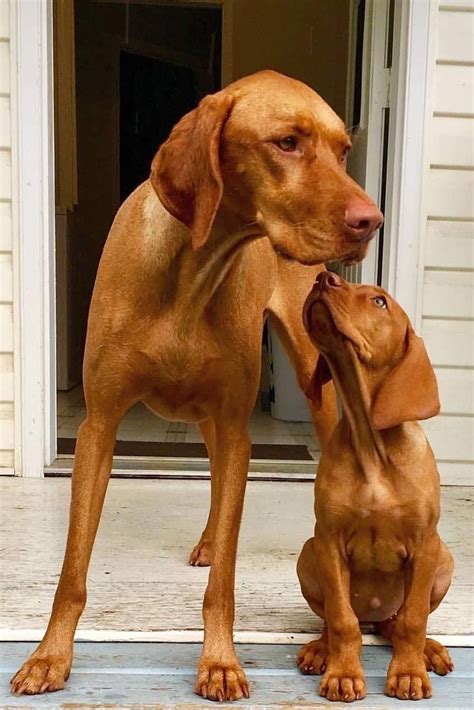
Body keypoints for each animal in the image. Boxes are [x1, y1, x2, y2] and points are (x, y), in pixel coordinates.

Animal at [11, 69, 382, 704]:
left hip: (313, 393)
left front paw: (220, 662)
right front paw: (50, 656)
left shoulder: (236, 428)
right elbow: (73, 568)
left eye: (342, 151)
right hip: (208, 419)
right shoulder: (99, 426)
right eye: (287, 142)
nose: (371, 221)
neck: (192, 270)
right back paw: (208, 541)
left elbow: (226, 580)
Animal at [296, 272, 456, 700]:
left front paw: (408, 673)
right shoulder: (329, 540)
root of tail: (375, 616)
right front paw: (343, 674)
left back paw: (429, 650)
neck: (372, 447)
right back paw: (320, 649)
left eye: (380, 302)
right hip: (308, 553)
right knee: (338, 619)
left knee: (398, 622)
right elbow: (342, 620)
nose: (323, 277)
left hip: (444, 559)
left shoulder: (425, 543)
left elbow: (414, 619)